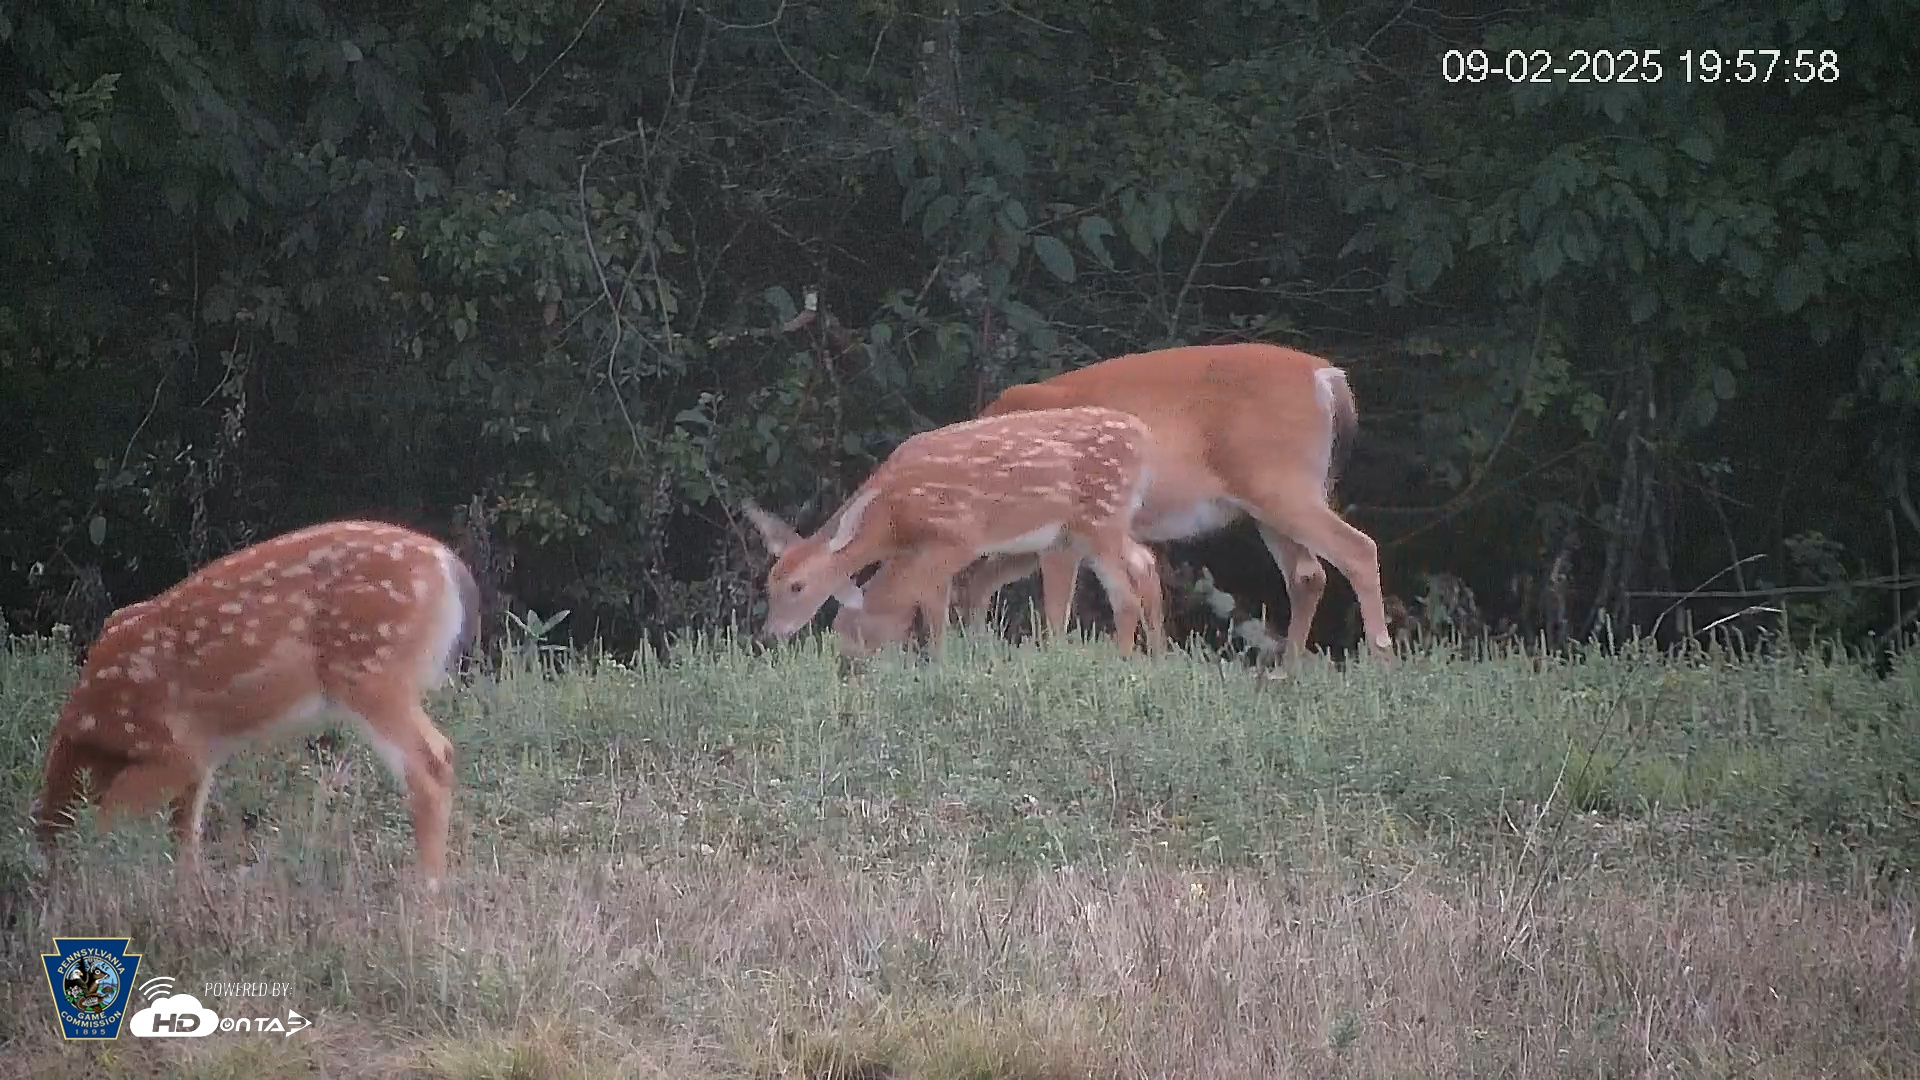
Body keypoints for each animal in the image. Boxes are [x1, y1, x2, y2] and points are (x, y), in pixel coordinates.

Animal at [29, 519, 481, 891]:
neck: (92, 730)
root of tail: (449, 567)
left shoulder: (173, 752)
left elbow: (107, 823)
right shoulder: (199, 766)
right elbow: (185, 844)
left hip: (370, 672)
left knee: (431, 761)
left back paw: (426, 893)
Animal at [742, 405, 1169, 658]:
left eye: (797, 586)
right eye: (768, 583)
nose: (770, 634)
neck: (894, 517)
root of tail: (1146, 439)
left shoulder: (960, 536)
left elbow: (918, 598)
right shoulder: (926, 548)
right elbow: (934, 609)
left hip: (1099, 521)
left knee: (1124, 593)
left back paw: (1123, 662)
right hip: (1095, 529)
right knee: (1144, 562)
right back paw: (1156, 657)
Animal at [948, 342, 1395, 664]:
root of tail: (1327, 378)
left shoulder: (1059, 528)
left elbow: (1056, 605)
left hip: (1282, 484)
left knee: (1357, 548)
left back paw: (1381, 660)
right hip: (1270, 501)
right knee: (1308, 574)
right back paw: (1287, 672)